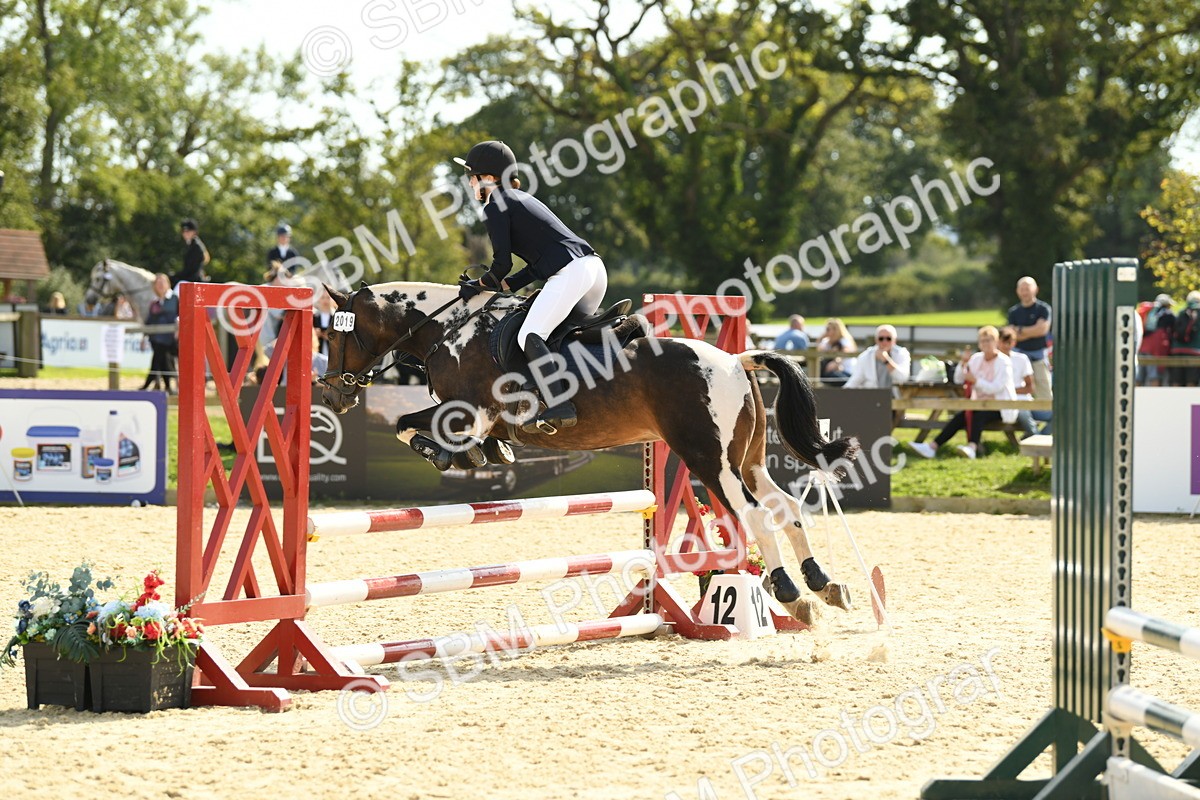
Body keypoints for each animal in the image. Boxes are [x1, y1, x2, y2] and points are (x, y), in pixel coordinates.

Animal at [317, 281, 861, 620]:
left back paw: (790, 593)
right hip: (744, 460)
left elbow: (407, 427)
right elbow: (431, 432)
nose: (332, 396)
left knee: (755, 515)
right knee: (785, 507)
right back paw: (822, 582)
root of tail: (734, 360)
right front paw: (485, 456)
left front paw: (450, 454)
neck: (447, 330)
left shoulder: (467, 411)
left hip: (711, 461)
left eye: (334, 334)